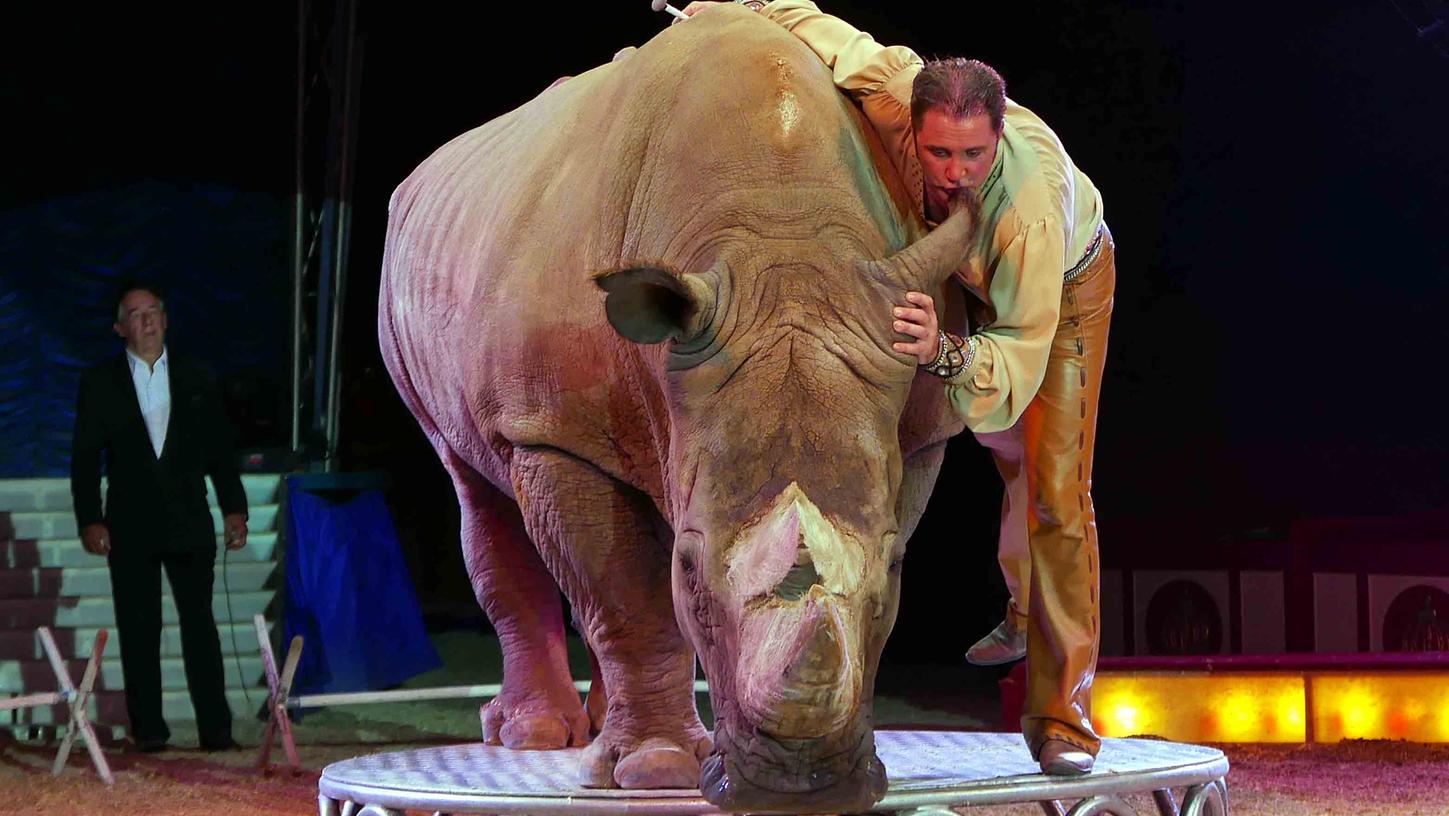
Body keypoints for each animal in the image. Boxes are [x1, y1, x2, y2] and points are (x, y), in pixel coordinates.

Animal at [378, 7, 975, 813]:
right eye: (691, 574)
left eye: (894, 572)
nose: (798, 788)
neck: (779, 241)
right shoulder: (557, 432)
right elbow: (627, 597)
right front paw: (656, 771)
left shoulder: (914, 432)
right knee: (474, 482)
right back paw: (535, 738)